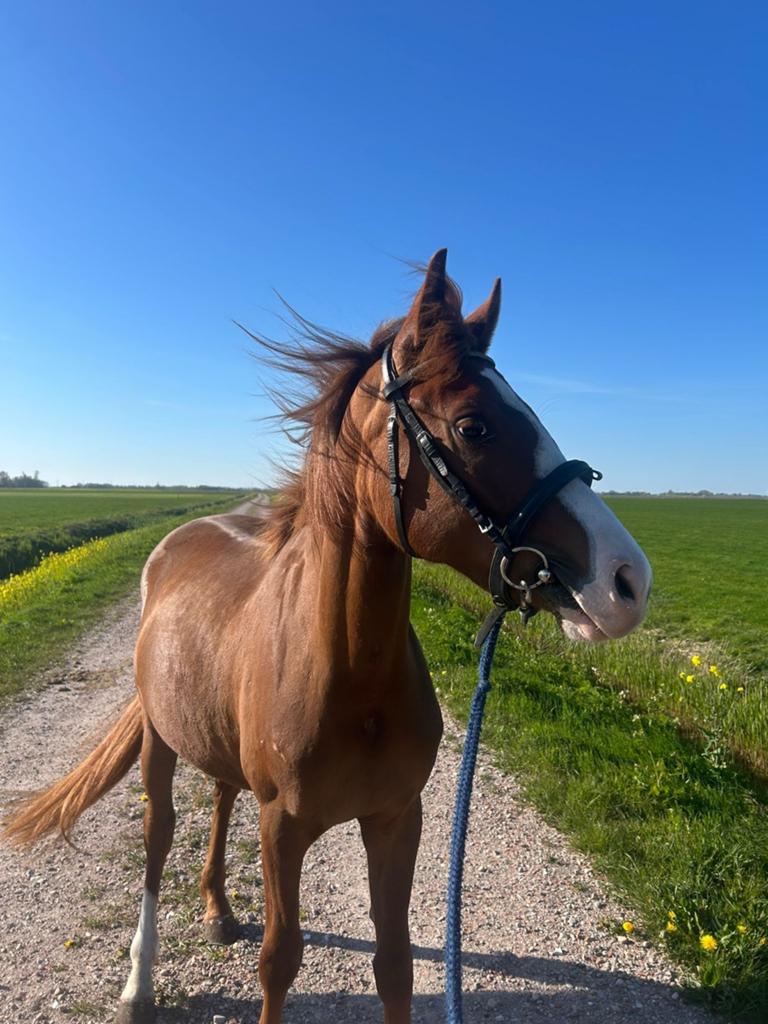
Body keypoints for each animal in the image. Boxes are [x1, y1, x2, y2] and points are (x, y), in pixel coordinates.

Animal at [3, 250, 652, 1024]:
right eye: (476, 427)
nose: (627, 579)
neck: (349, 674)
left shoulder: (397, 818)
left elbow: (395, 964)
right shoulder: (283, 828)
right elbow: (279, 960)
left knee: (220, 797)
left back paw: (217, 908)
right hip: (161, 742)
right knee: (158, 837)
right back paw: (139, 982)